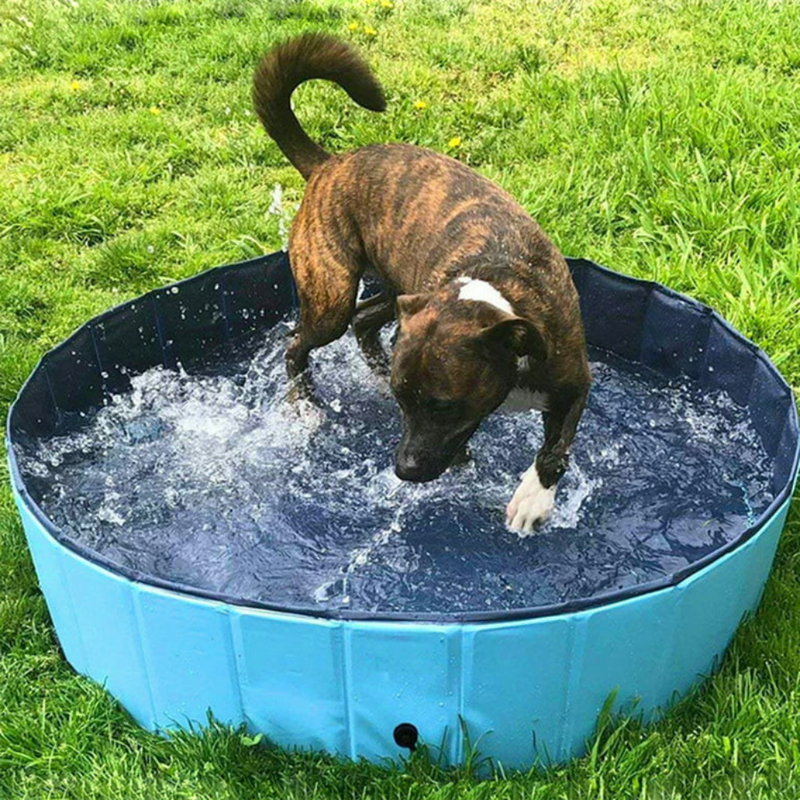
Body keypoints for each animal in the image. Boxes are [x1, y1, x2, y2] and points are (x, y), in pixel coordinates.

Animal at [253, 32, 592, 532]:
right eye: (402, 402)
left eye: (443, 405)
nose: (404, 470)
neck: (498, 300)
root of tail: (329, 164)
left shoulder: (573, 381)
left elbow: (555, 449)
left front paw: (534, 499)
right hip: (331, 293)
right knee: (298, 342)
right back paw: (305, 404)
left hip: (397, 290)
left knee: (362, 321)